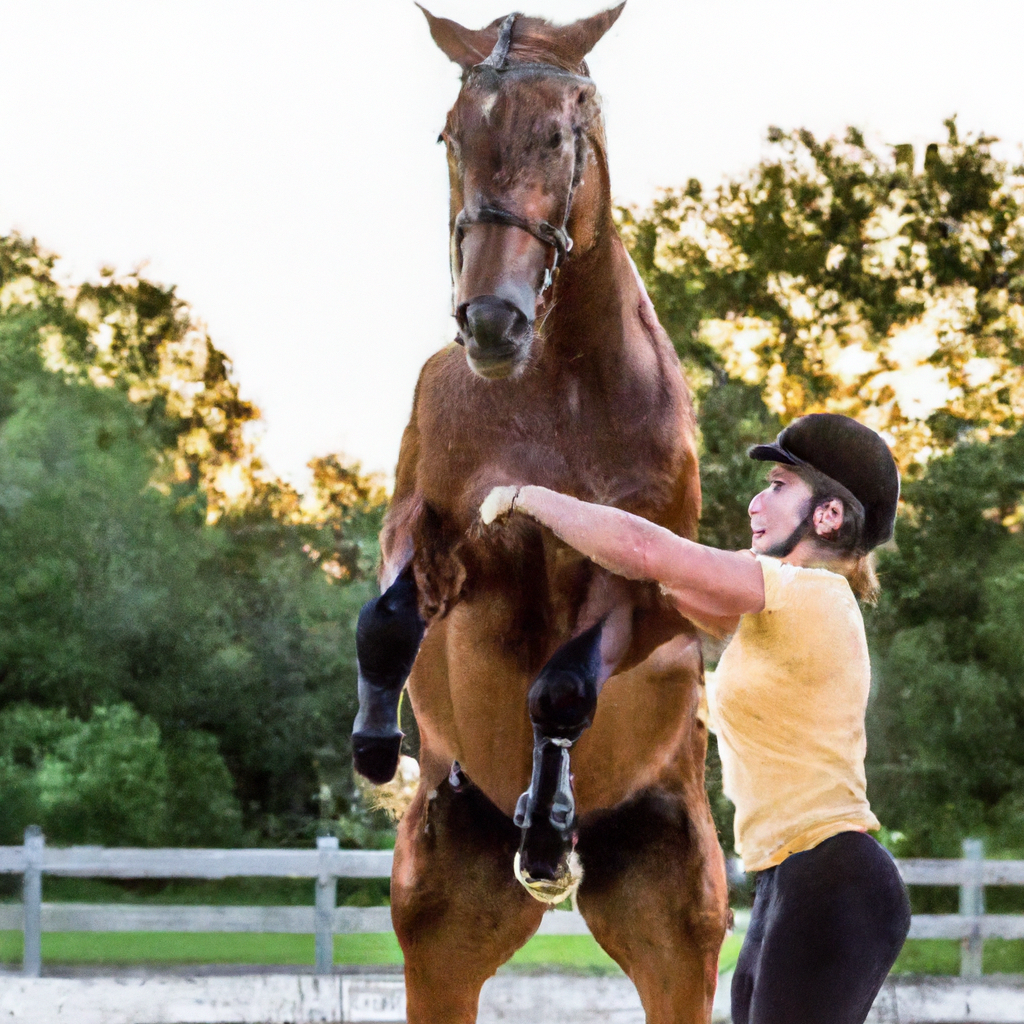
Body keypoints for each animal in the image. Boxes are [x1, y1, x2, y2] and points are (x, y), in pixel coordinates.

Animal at [350, 8, 729, 1024]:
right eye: (453, 136)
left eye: (563, 134)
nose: (493, 322)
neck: (552, 389)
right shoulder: (437, 536)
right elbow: (385, 623)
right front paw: (379, 749)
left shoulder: (649, 591)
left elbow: (561, 685)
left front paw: (549, 830)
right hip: (441, 938)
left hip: (678, 929)